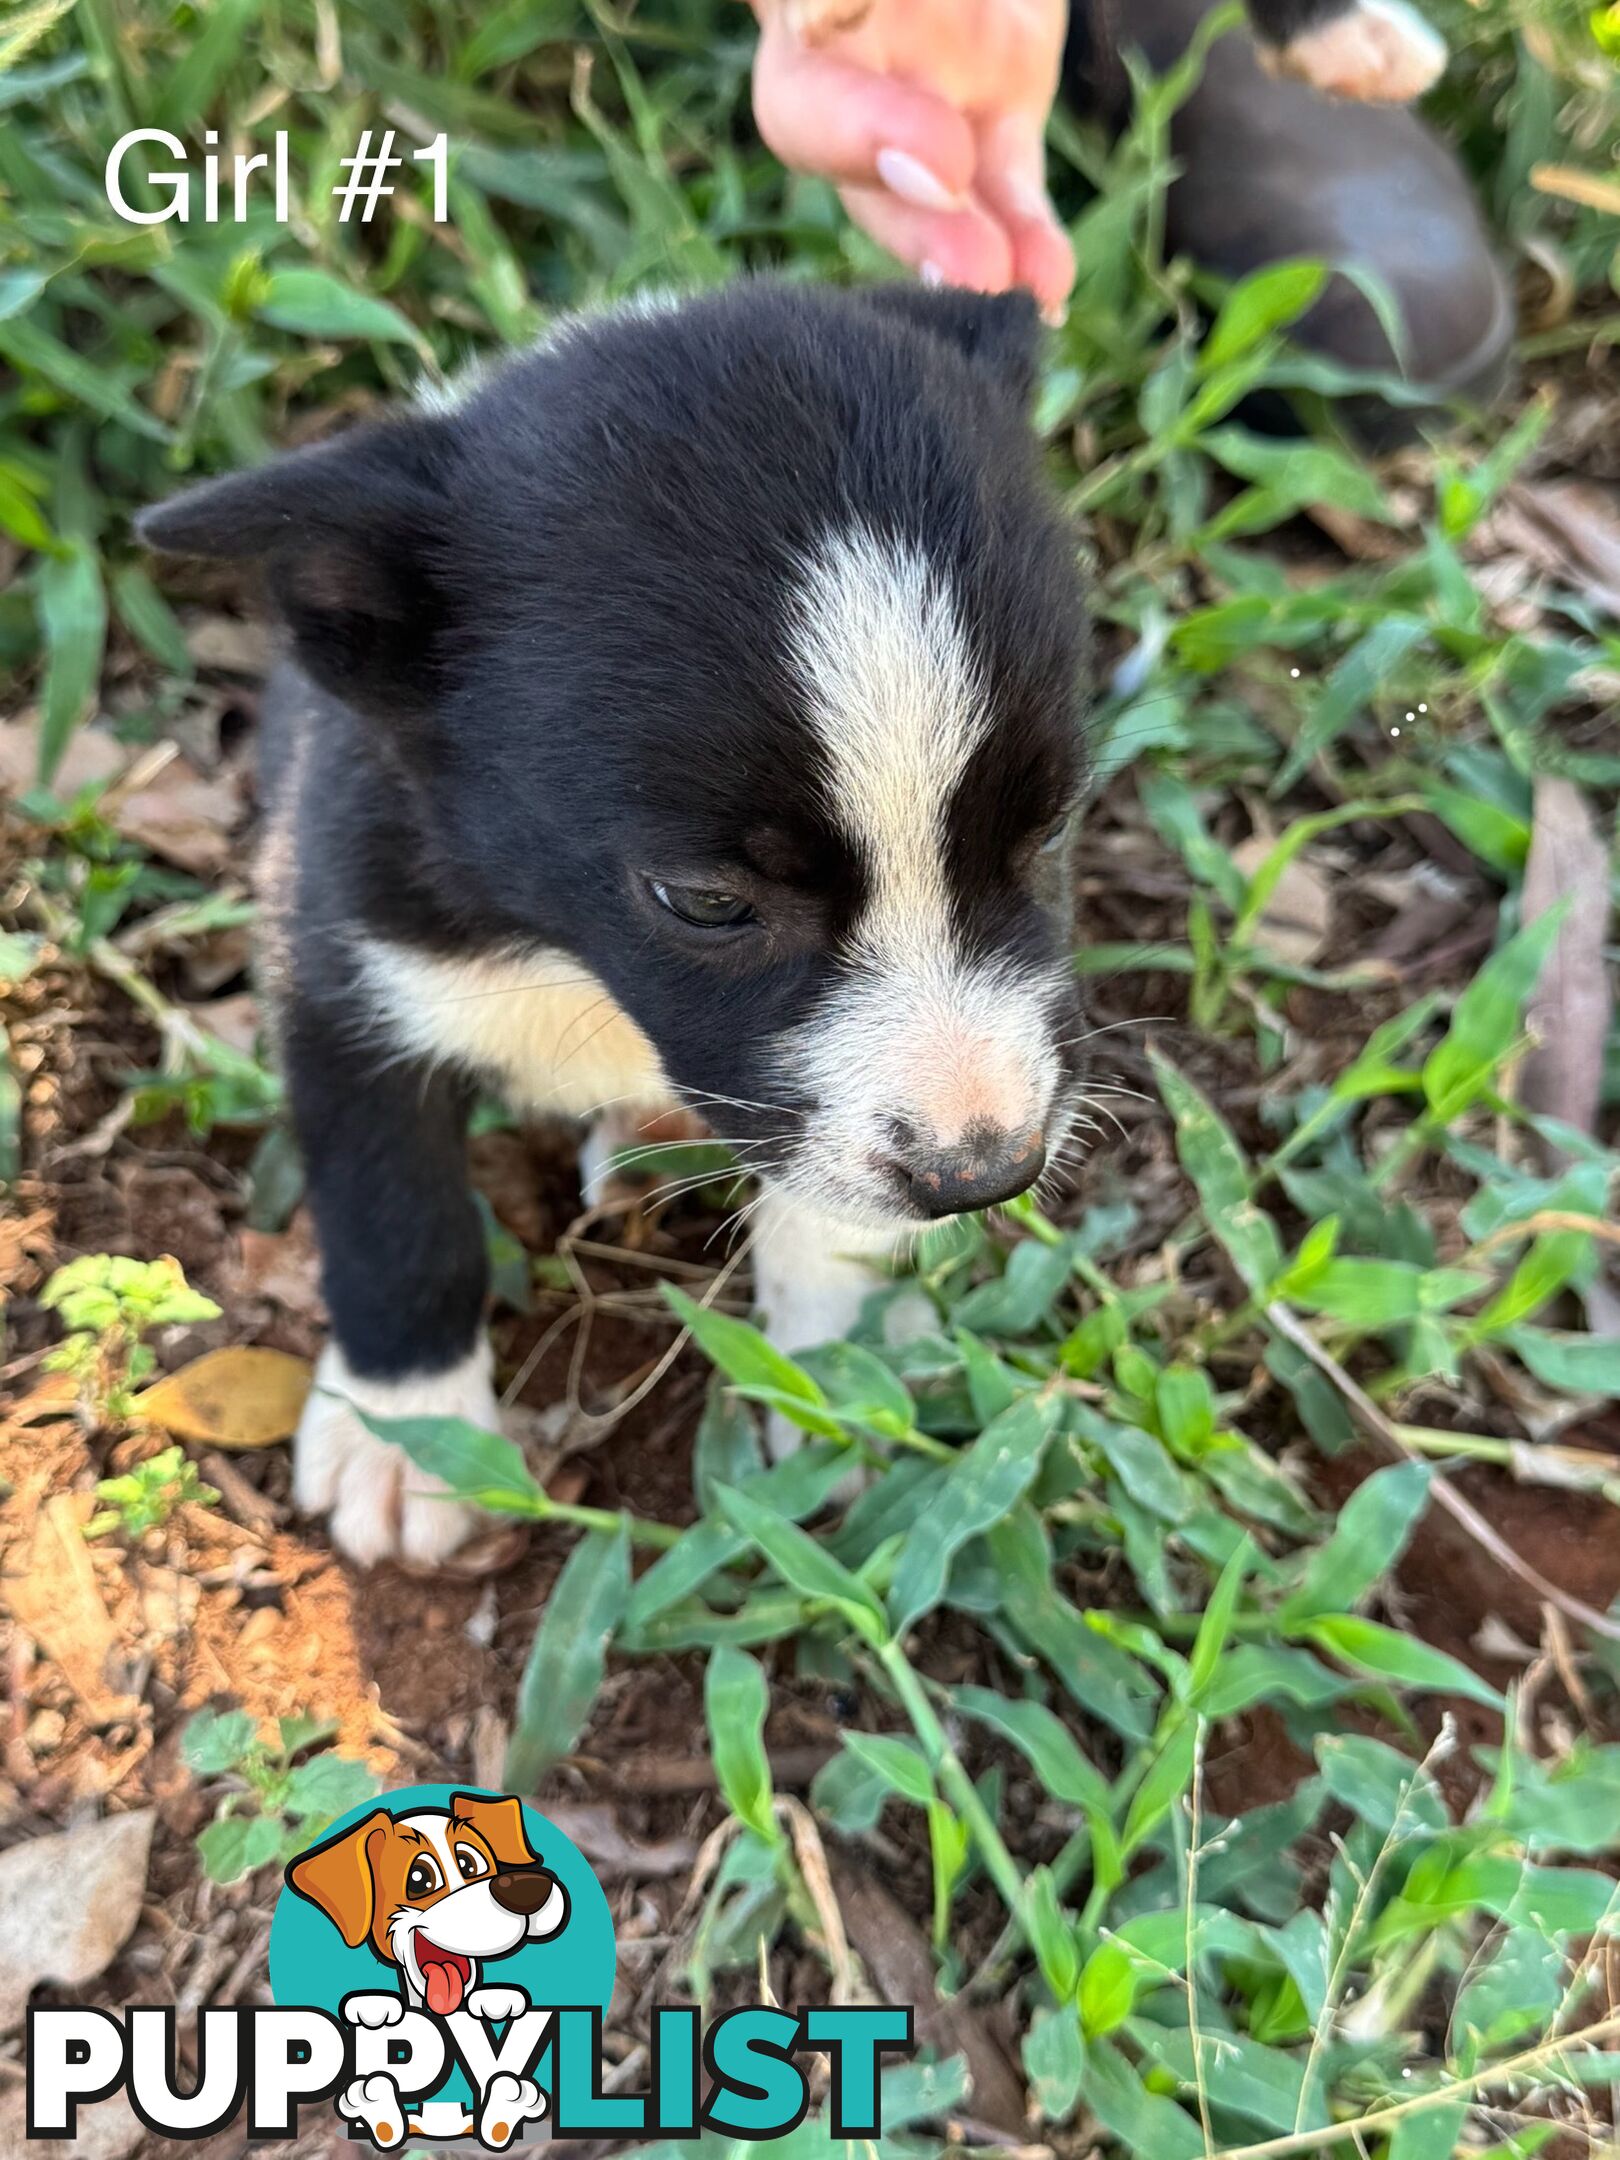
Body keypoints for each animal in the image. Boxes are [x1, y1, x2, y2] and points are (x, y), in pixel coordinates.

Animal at [139, 287, 1097, 1572]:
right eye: (703, 901)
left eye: (1051, 828)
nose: (986, 1173)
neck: (573, 961)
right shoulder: (339, 948)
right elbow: (395, 1207)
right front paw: (406, 1430)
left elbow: (823, 1207)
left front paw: (836, 1374)